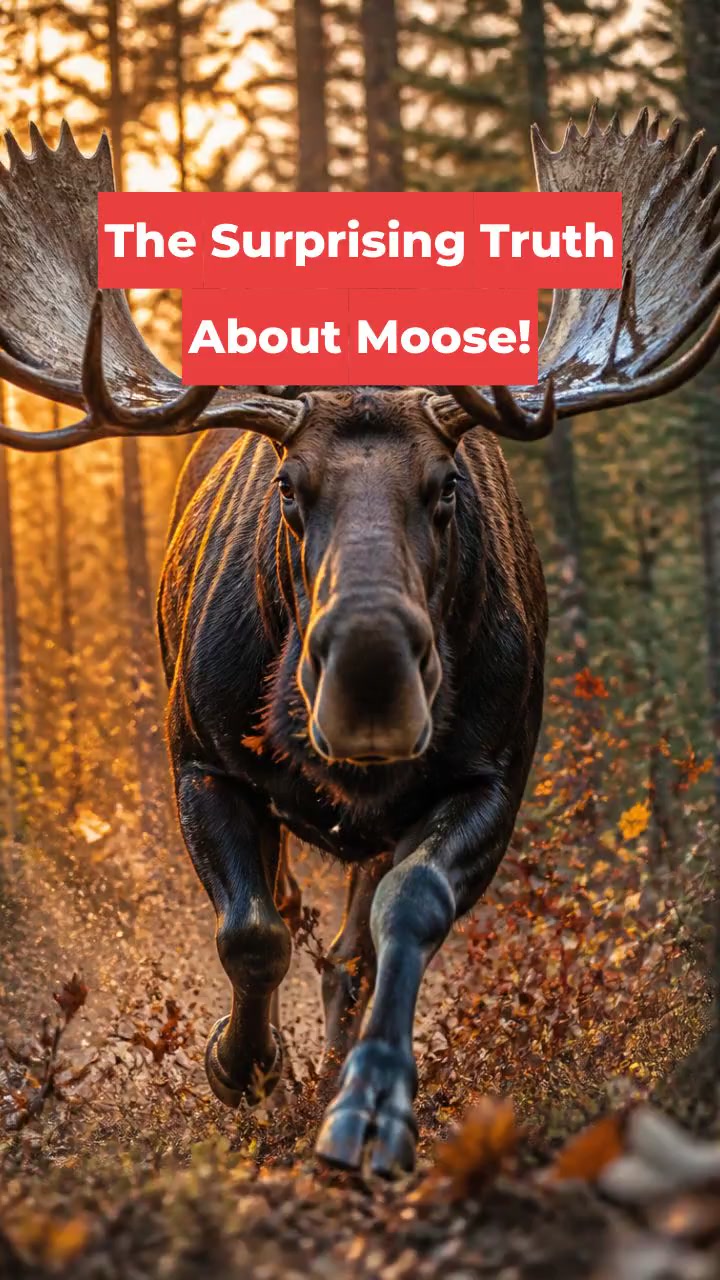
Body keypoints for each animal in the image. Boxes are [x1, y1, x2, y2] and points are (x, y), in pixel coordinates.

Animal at [1, 105, 719, 1176]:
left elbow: (400, 919)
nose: (370, 682)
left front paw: (370, 1099)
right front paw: (240, 1066)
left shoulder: (493, 775)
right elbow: (252, 932)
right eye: (289, 489)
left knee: (352, 941)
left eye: (448, 485)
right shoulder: (197, 758)